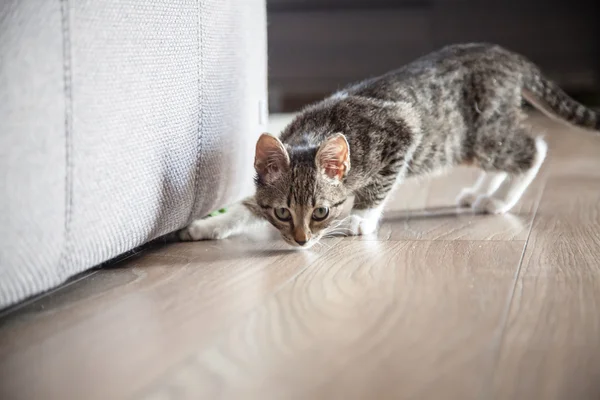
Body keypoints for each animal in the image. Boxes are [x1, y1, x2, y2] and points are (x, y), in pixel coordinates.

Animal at [178, 44, 600, 250]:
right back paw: (481, 192)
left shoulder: (401, 133)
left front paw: (361, 218)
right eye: (283, 212)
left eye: (321, 212)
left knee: (533, 148)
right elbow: (247, 206)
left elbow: (378, 188)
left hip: (482, 132)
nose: (301, 241)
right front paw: (209, 224)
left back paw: (499, 200)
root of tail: (509, 56)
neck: (315, 132)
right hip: (475, 138)